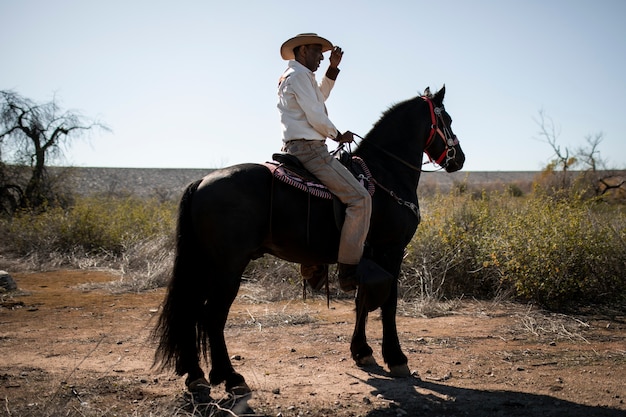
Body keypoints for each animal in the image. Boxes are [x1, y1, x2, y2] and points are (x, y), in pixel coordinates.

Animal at [152, 84, 464, 396]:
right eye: (447, 120)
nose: (459, 159)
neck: (386, 172)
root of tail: (200, 183)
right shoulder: (392, 250)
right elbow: (388, 304)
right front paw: (396, 358)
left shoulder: (367, 256)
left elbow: (362, 301)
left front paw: (362, 352)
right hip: (228, 266)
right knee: (213, 316)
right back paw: (230, 377)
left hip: (204, 264)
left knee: (190, 311)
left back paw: (196, 376)